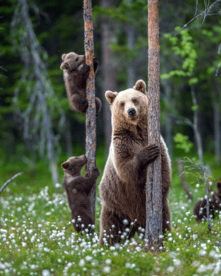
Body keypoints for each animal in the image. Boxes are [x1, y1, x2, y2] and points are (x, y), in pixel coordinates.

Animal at [99, 80, 172, 246]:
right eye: (122, 103)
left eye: (134, 99)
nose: (131, 111)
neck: (137, 132)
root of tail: (136, 224)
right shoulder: (122, 144)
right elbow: (126, 169)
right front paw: (148, 152)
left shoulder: (158, 143)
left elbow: (164, 170)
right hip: (116, 206)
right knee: (111, 230)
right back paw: (105, 246)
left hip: (158, 209)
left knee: (164, 222)